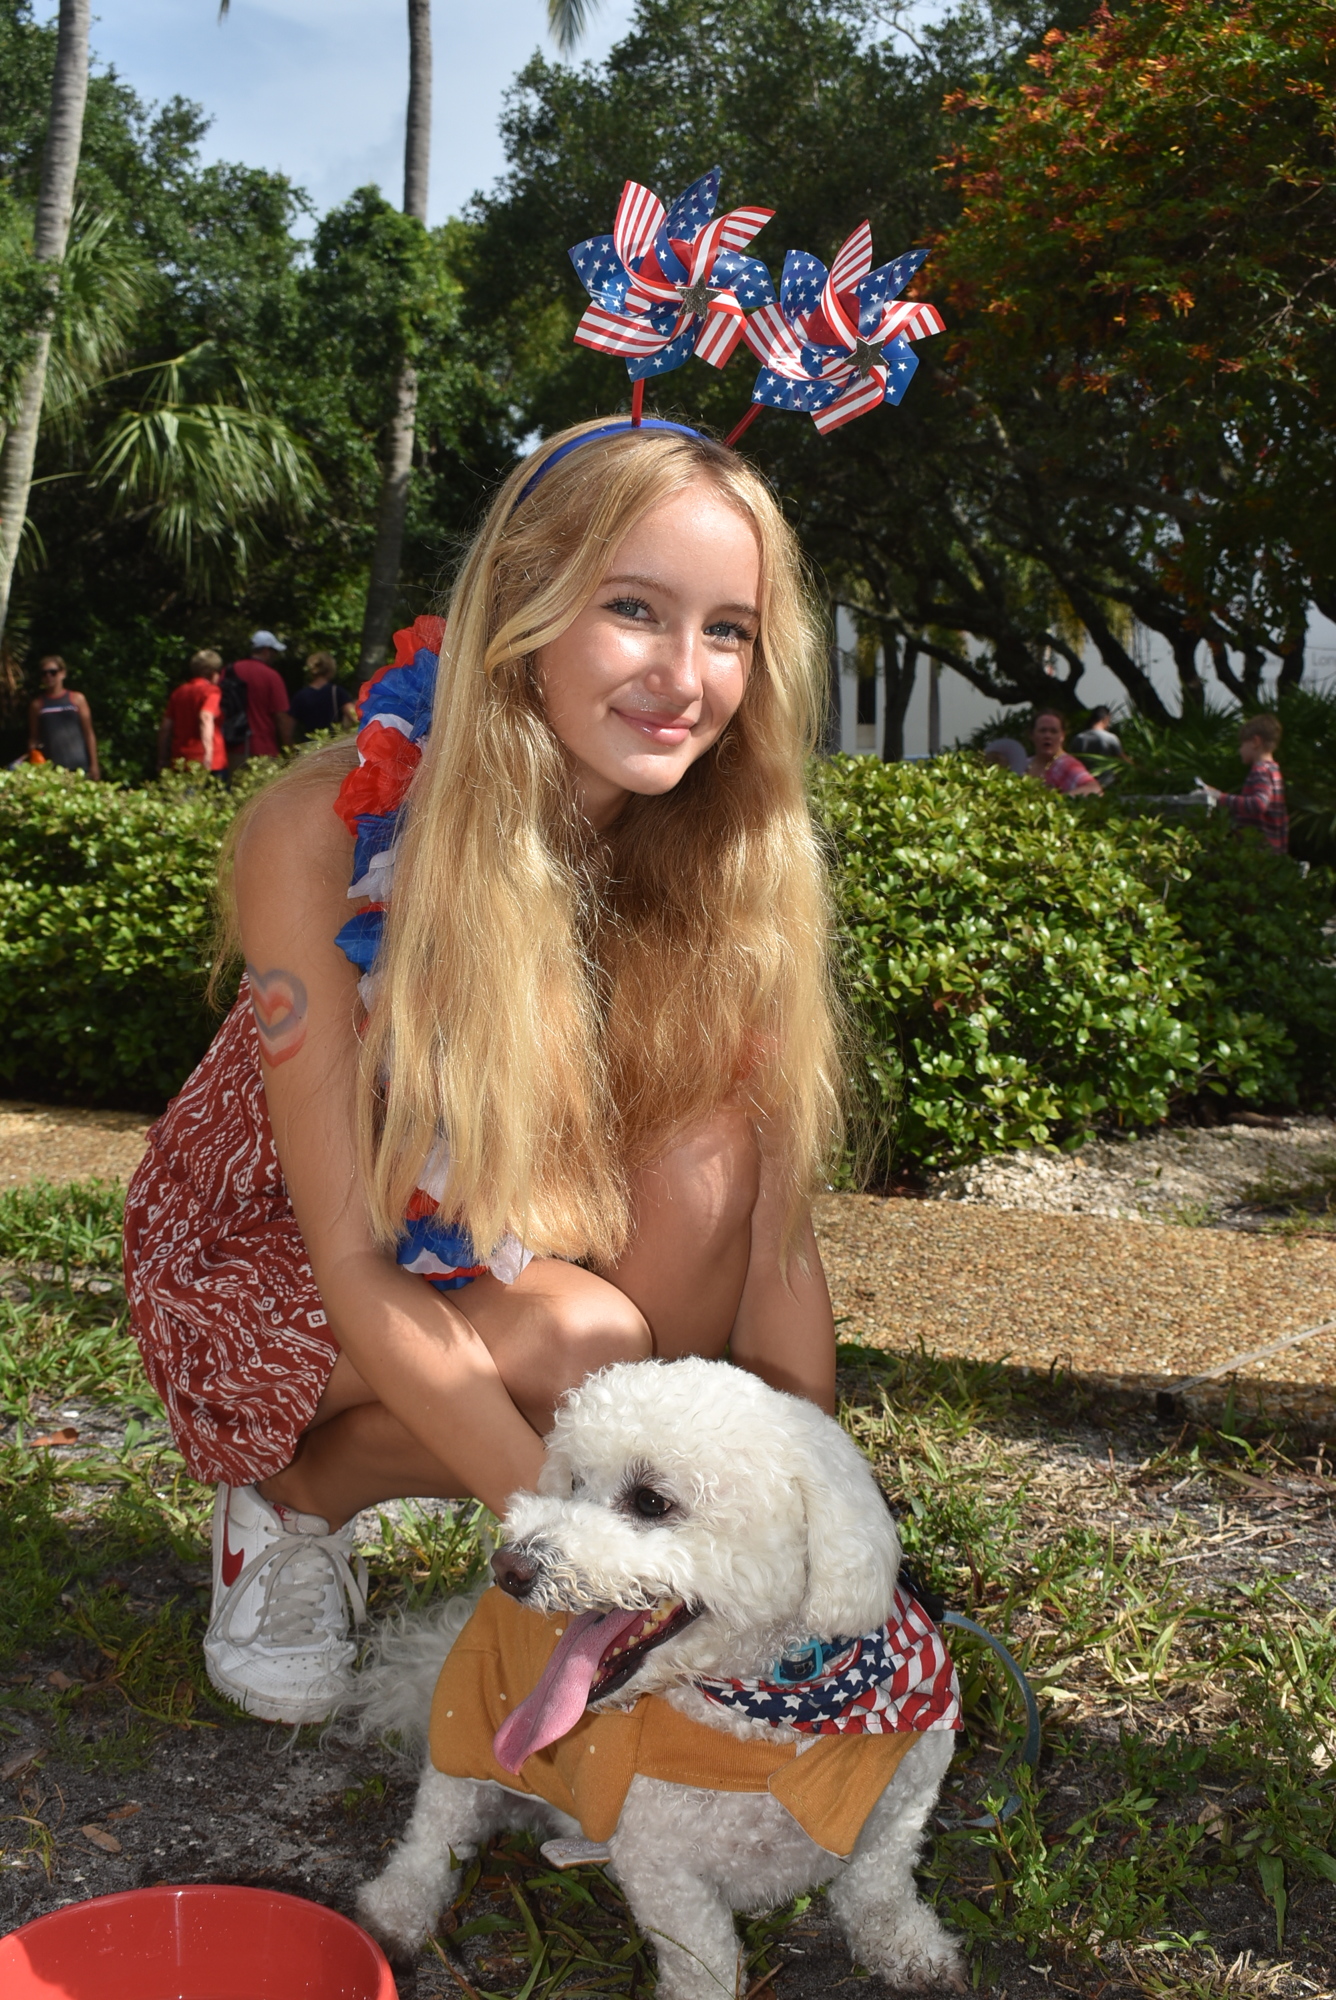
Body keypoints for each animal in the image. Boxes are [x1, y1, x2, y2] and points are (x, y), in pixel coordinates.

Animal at [352, 1360, 960, 2000]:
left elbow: (879, 1886)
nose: (509, 1567)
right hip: (466, 1740)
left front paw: (908, 1947)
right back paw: (395, 1913)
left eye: (650, 1501)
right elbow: (702, 1960)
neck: (778, 1710)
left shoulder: (905, 1804)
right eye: (574, 1483)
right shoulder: (660, 1864)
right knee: (433, 1836)